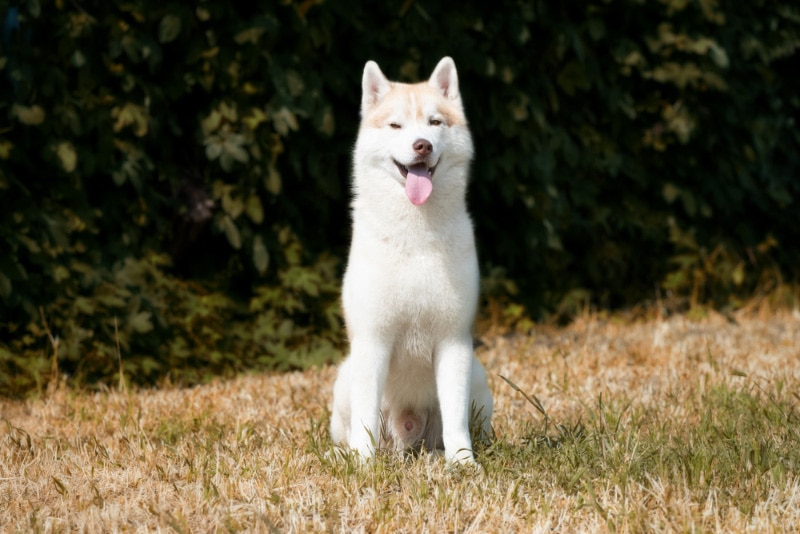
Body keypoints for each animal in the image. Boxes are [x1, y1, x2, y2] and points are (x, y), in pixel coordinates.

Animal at [330, 56, 494, 466]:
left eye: (435, 123)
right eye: (395, 126)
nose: (422, 145)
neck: (416, 236)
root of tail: (408, 437)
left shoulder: (454, 342)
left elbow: (455, 418)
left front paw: (463, 463)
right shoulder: (372, 341)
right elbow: (365, 418)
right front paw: (362, 464)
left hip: (478, 376)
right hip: (345, 375)